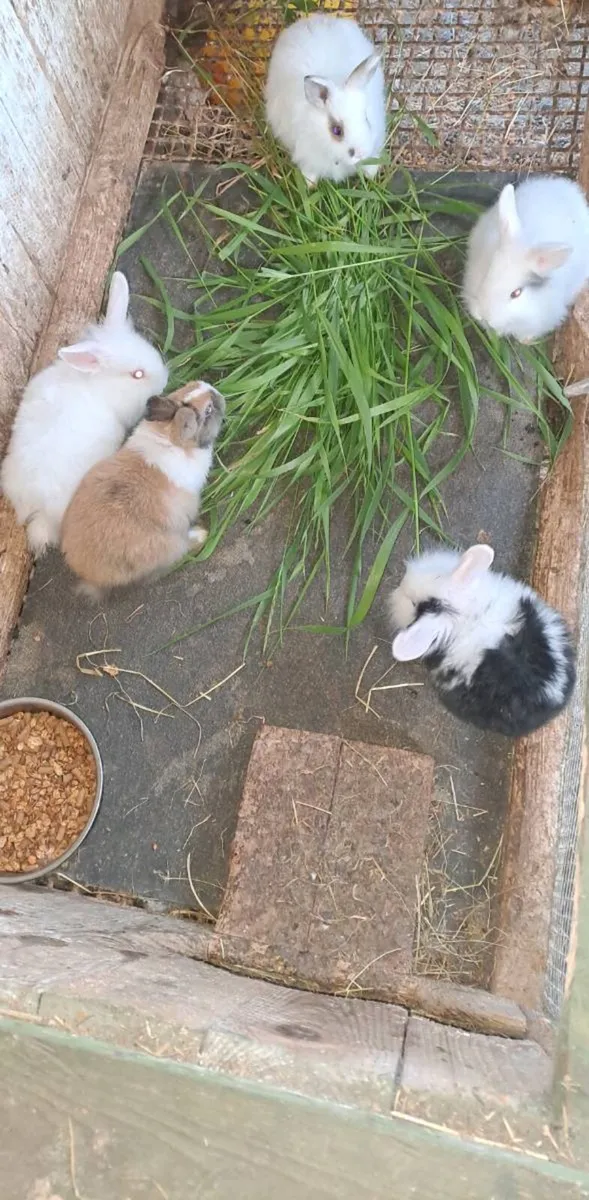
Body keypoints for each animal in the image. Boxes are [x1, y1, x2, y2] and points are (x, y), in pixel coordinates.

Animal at [60, 380, 225, 595]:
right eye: (209, 410)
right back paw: (200, 535)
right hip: (167, 544)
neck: (172, 437)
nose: (221, 395)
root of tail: (89, 573)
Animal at [264, 13, 386, 186]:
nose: (361, 154)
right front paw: (310, 185)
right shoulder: (308, 157)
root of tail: (312, 19)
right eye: (337, 130)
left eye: (367, 120)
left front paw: (371, 174)